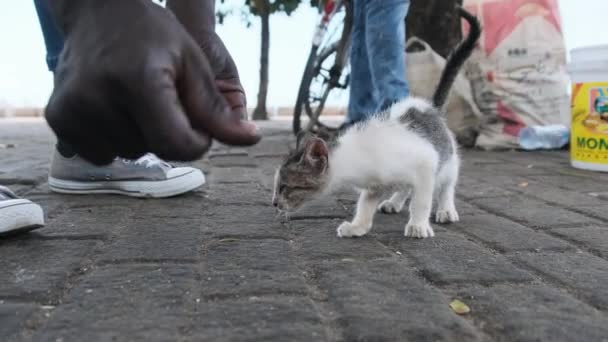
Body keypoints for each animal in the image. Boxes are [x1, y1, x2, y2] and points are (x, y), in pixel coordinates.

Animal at [270, 7, 480, 238]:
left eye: (285, 187)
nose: (274, 203)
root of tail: (429, 106)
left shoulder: (426, 163)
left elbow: (422, 200)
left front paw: (418, 224)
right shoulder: (374, 185)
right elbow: (365, 204)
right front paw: (357, 226)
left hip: (447, 158)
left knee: (446, 184)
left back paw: (446, 209)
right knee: (406, 186)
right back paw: (394, 202)